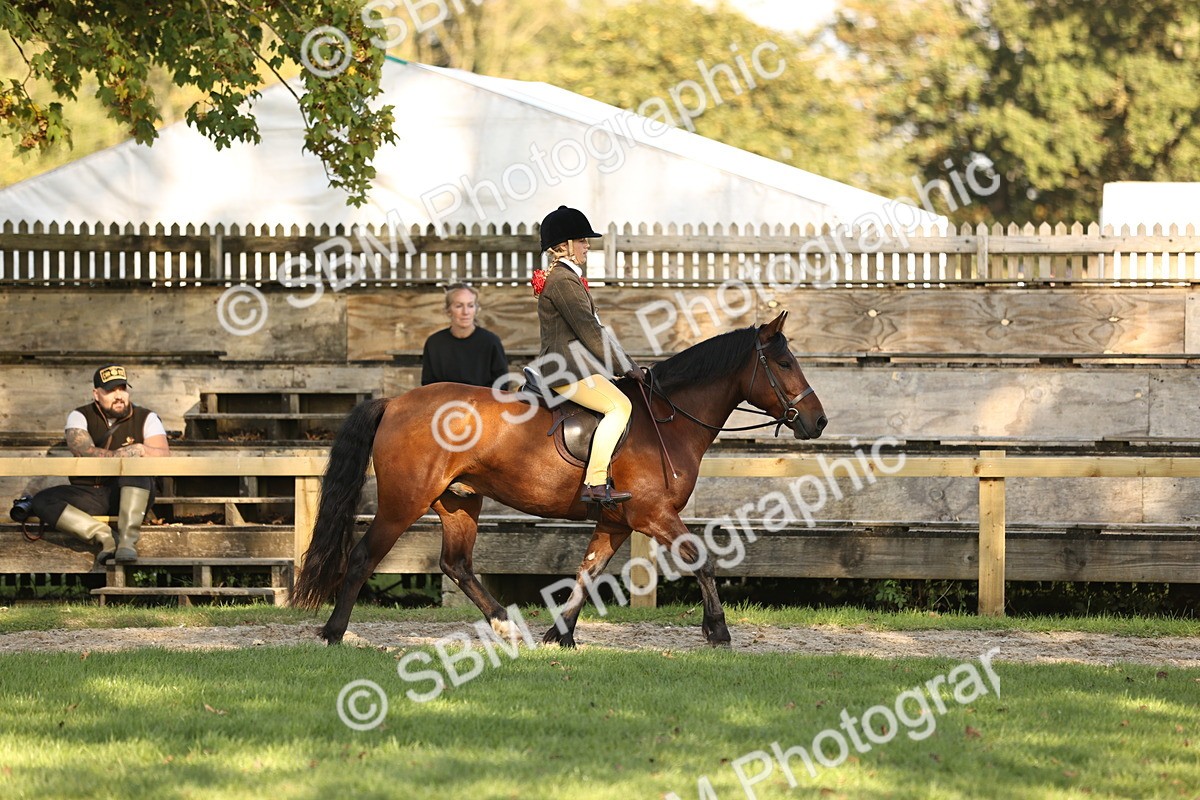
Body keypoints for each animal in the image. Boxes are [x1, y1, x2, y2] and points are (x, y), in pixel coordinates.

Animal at [291, 310, 827, 647]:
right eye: (784, 363)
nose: (818, 421)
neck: (668, 418)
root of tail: (396, 401)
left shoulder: (617, 520)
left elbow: (588, 571)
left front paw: (559, 633)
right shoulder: (652, 513)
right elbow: (703, 560)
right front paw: (717, 630)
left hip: (458, 501)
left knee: (457, 564)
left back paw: (507, 627)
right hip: (403, 502)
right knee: (364, 556)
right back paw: (334, 633)